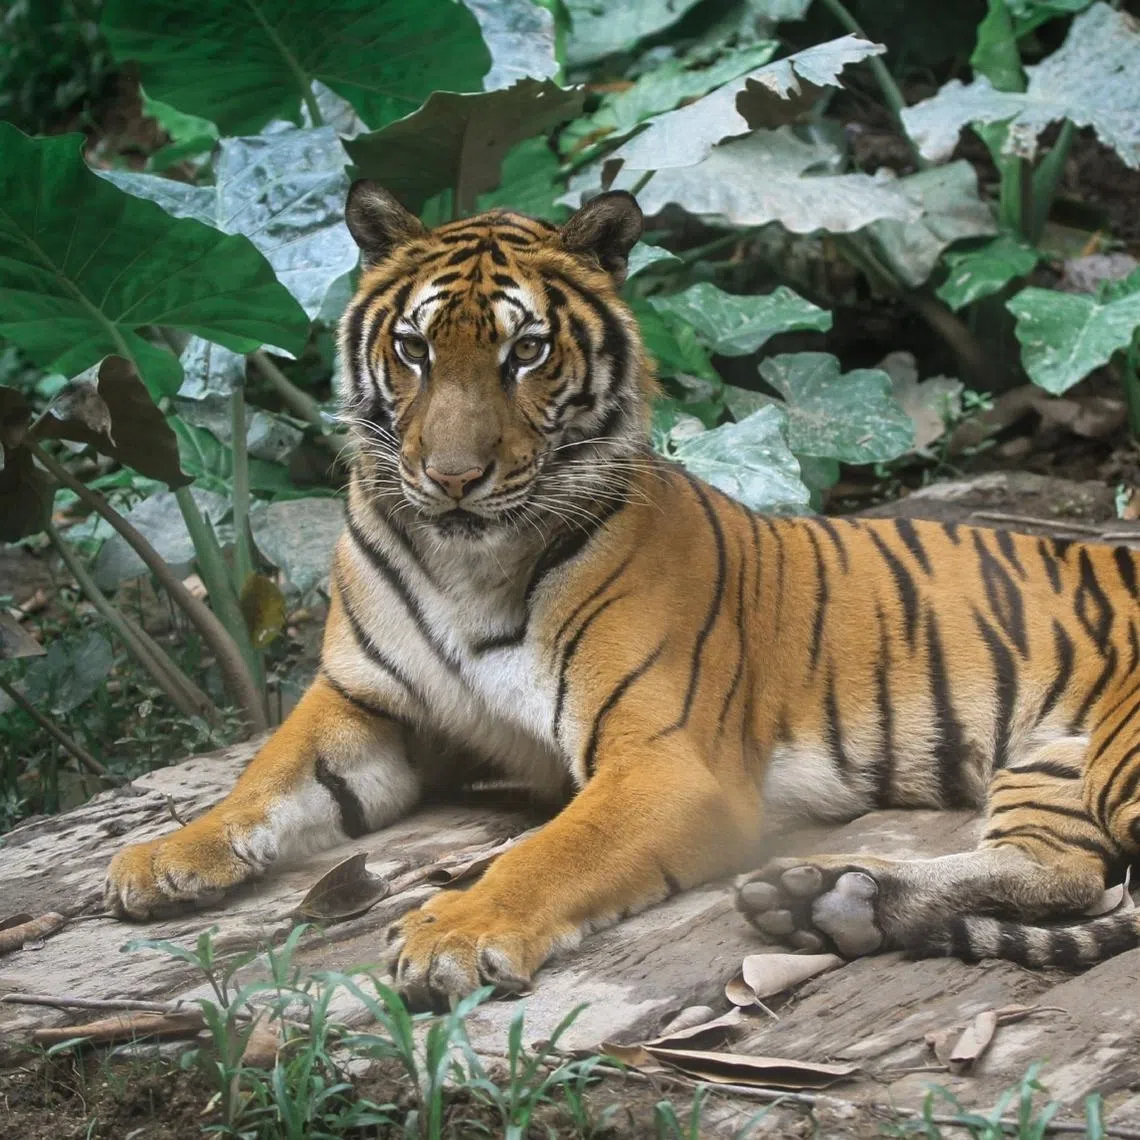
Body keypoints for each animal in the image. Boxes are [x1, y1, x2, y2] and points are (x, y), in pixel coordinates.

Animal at [105, 182, 1140, 1006]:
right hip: (1050, 765)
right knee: (1061, 869)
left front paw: (453, 933)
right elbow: (267, 775)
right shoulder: (364, 702)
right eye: (413, 349)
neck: (463, 560)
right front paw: (166, 855)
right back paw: (832, 901)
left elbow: (550, 851)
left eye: (525, 352)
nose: (452, 478)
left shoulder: (662, 758)